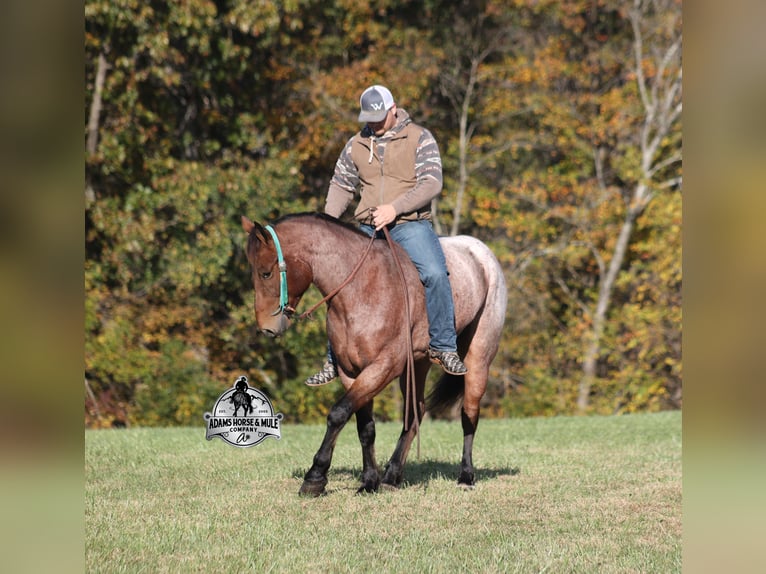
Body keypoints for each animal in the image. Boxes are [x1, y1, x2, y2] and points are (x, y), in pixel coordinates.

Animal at [241, 213, 506, 496]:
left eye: (266, 273)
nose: (267, 328)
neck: (361, 289)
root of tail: (481, 252)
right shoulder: (351, 372)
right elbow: (364, 426)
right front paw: (369, 480)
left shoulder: (382, 367)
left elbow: (337, 414)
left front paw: (315, 477)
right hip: (417, 364)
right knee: (416, 412)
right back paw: (392, 476)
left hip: (478, 358)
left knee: (469, 413)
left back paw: (466, 476)